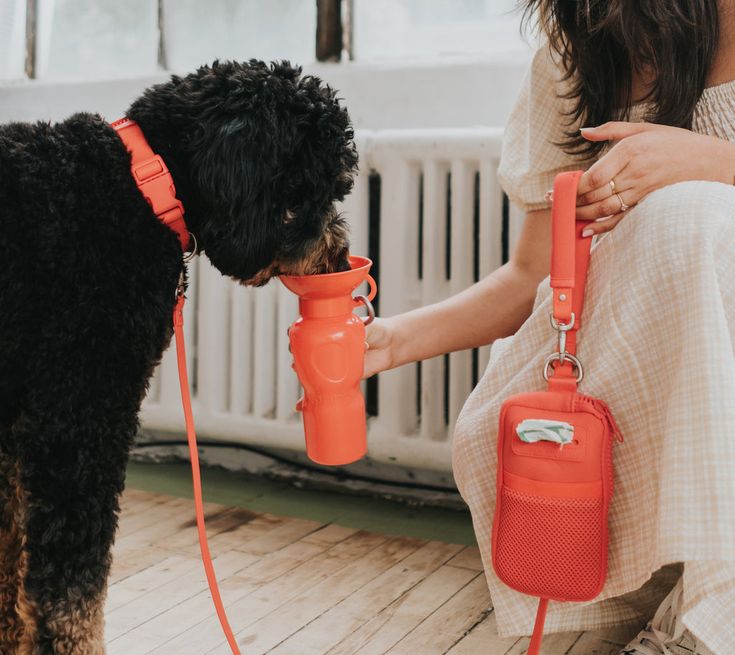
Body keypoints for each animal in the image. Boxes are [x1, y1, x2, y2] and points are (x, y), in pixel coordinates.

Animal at [0, 59, 358, 652]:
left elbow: (10, 569)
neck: (142, 185)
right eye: (310, 192)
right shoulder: (81, 418)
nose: (341, 259)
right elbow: (71, 593)